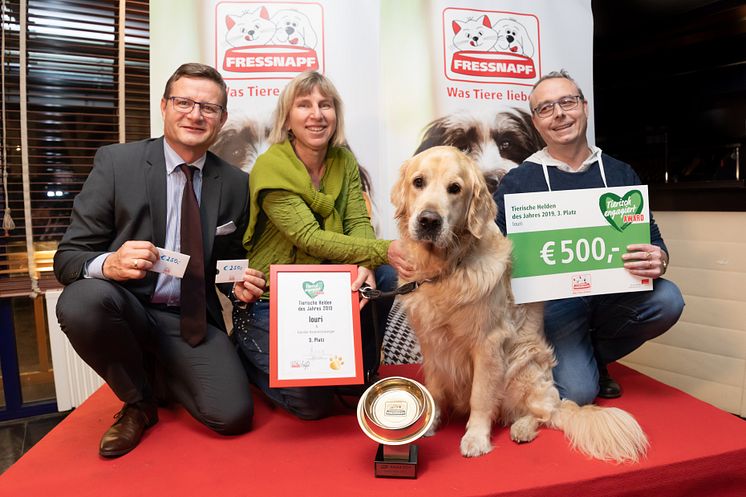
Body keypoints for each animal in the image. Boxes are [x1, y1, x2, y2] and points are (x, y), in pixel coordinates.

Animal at [390, 146, 644, 462]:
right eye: (418, 182)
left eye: (455, 188)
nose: (428, 220)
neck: (446, 268)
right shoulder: (433, 343)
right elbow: (434, 389)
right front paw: (429, 424)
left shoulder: (488, 343)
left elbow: (481, 396)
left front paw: (476, 438)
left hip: (522, 368)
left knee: (545, 413)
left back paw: (523, 428)